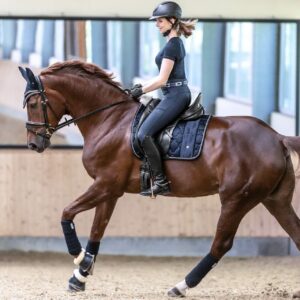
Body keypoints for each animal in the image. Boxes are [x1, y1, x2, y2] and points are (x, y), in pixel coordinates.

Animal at [18, 61, 300, 298]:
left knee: (221, 244)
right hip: (275, 201)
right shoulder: (110, 189)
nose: (34, 144)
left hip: (236, 200)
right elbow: (98, 230)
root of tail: (276, 137)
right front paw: (81, 276)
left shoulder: (105, 184)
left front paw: (78, 257)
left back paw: (180, 286)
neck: (110, 120)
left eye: (33, 104)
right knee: (295, 232)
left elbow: (67, 213)